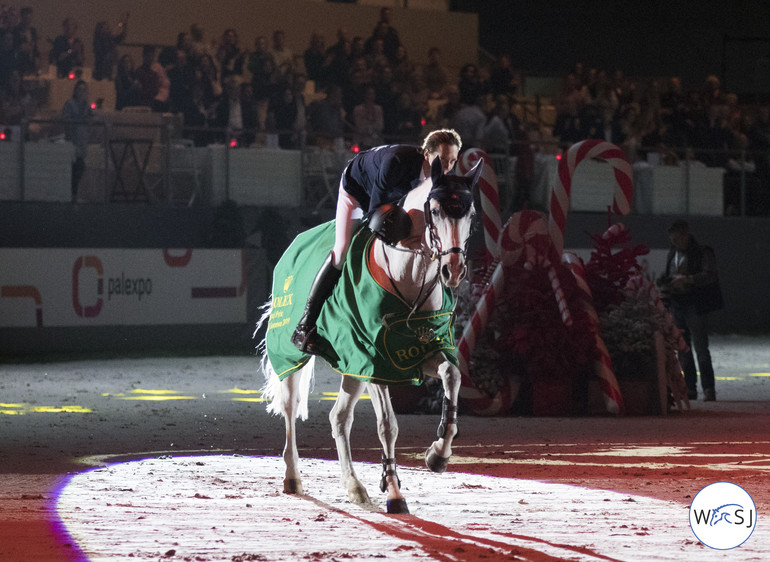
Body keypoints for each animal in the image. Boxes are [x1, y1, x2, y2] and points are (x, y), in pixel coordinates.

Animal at [260, 154, 484, 512]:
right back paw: (293, 478)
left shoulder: (416, 351)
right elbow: (388, 425)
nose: (454, 271)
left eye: (471, 214)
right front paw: (393, 492)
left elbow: (452, 375)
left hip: (352, 366)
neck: (410, 272)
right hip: (292, 355)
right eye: (435, 211)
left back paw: (354, 486)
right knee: (291, 408)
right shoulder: (376, 361)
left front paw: (438, 454)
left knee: (339, 418)